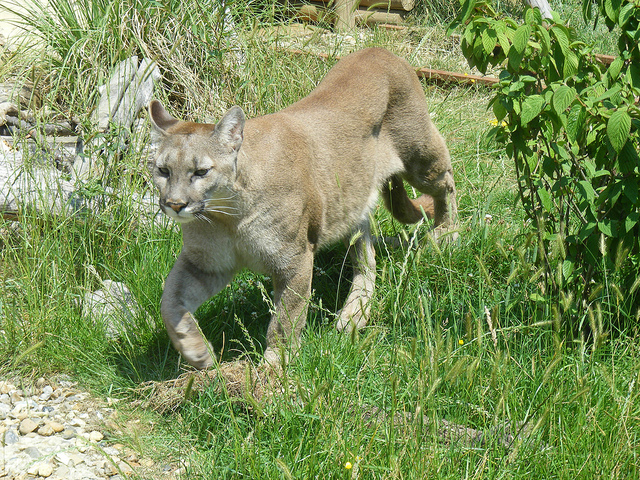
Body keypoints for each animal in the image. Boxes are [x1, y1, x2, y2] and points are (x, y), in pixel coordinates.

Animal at [149, 47, 456, 368]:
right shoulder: (205, 263)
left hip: (420, 157)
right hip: (351, 200)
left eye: (200, 172)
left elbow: (285, 318)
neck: (228, 216)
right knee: (366, 257)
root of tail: (377, 49)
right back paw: (354, 313)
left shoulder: (293, 259)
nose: (174, 204)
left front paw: (274, 368)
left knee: (447, 183)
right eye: (163, 170)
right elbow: (169, 300)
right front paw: (196, 351)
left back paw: (446, 235)